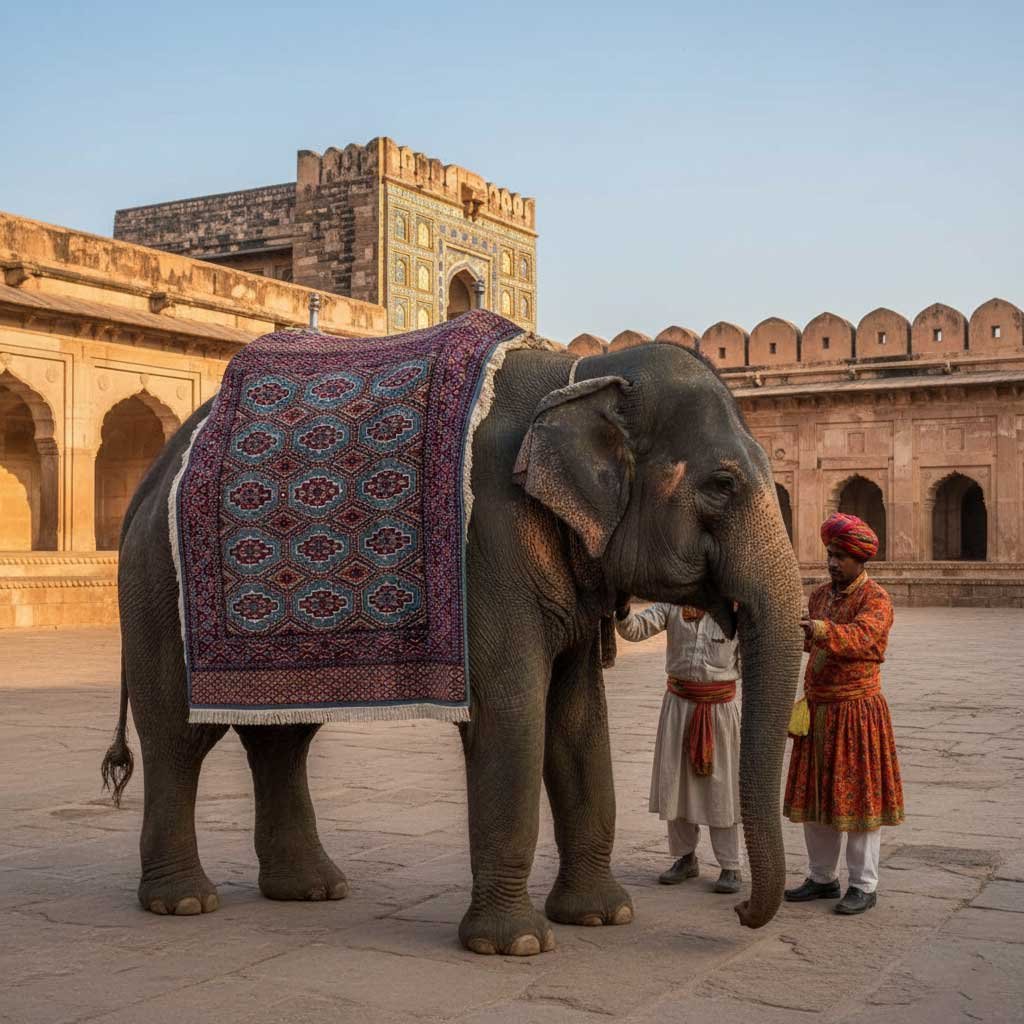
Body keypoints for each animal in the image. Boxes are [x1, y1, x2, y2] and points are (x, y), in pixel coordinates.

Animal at [101, 335, 802, 956]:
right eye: (722, 485)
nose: (740, 910)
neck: (581, 374)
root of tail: (155, 471)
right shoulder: (488, 543)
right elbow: (513, 712)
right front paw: (517, 945)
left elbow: (579, 720)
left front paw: (603, 918)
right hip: (158, 583)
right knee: (179, 736)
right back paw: (184, 902)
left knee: (284, 736)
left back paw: (311, 890)